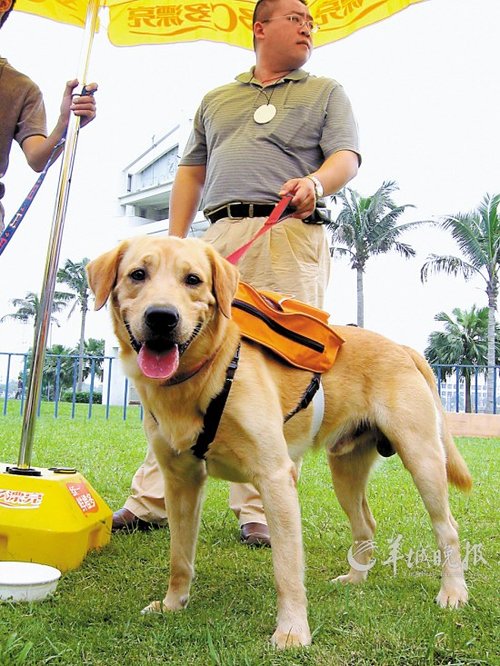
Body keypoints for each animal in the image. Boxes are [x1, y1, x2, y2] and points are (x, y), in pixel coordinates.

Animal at [87, 235, 472, 648]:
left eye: (192, 279)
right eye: (137, 274)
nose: (162, 317)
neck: (207, 373)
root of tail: (402, 347)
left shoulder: (275, 477)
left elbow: (286, 568)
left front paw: (292, 630)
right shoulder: (180, 482)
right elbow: (179, 557)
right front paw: (174, 603)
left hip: (422, 459)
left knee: (448, 527)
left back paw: (453, 592)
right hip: (345, 469)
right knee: (366, 524)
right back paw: (356, 578)